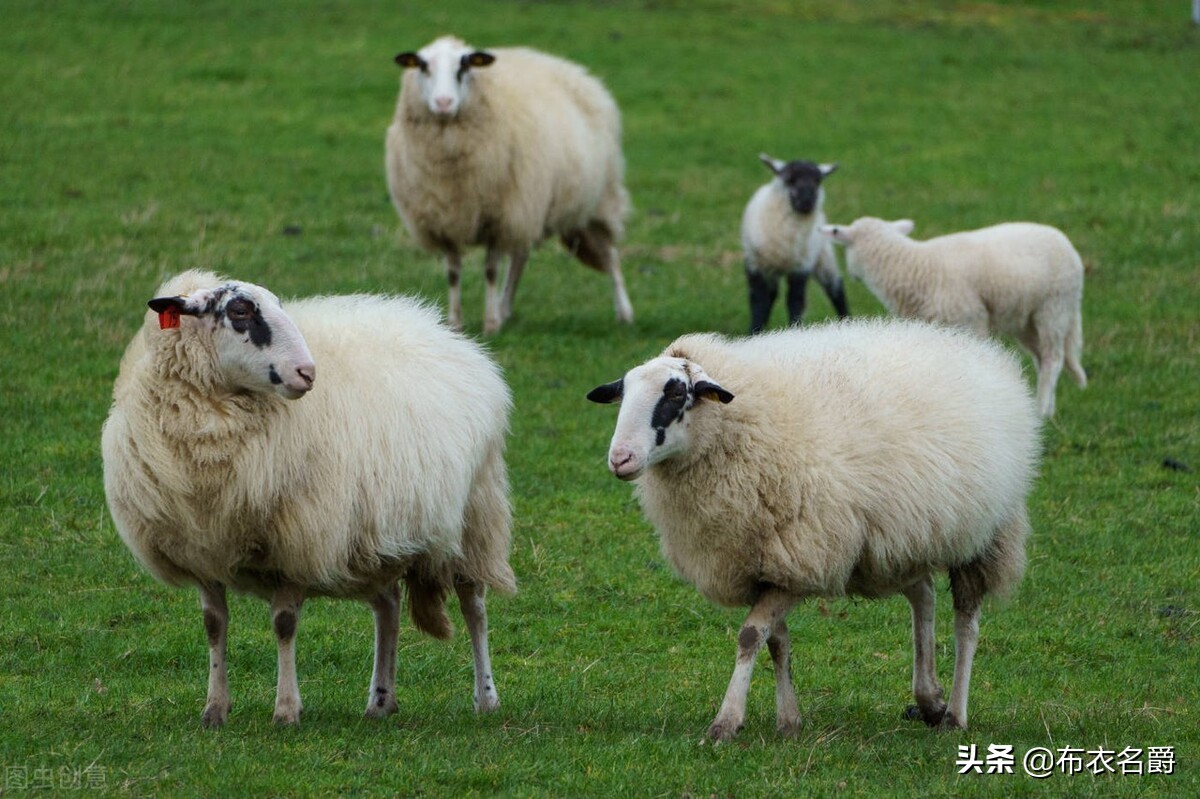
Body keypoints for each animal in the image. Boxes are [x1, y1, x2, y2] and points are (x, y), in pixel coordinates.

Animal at [100, 271, 513, 724]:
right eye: (240, 311)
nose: (307, 371)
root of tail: (449, 336)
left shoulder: (296, 540)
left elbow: (284, 624)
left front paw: (286, 710)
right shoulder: (204, 548)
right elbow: (213, 625)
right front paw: (215, 709)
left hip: (476, 514)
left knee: (474, 607)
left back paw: (486, 698)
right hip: (373, 533)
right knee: (387, 607)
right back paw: (380, 702)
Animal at [386, 33, 638, 333]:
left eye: (464, 67)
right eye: (423, 67)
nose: (444, 103)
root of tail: (575, 71)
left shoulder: (499, 217)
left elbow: (490, 270)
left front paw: (490, 324)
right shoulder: (444, 221)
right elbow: (453, 273)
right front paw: (456, 323)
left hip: (596, 201)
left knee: (610, 255)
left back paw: (624, 312)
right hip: (530, 206)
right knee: (520, 257)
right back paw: (505, 308)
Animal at [590, 314, 1041, 739]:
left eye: (676, 394)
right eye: (623, 395)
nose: (620, 458)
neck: (742, 425)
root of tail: (976, 348)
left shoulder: (802, 558)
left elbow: (751, 635)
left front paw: (726, 722)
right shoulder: (765, 565)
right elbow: (776, 641)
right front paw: (788, 721)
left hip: (987, 534)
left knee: (966, 623)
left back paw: (955, 716)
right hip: (902, 538)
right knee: (923, 597)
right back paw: (929, 699)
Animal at [734, 153, 849, 331]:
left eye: (818, 181)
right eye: (790, 180)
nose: (807, 202)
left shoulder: (800, 268)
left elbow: (795, 302)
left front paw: (795, 328)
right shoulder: (756, 266)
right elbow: (758, 301)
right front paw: (755, 330)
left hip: (822, 254)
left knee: (835, 288)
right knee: (772, 295)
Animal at [816, 218, 1089, 417]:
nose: (853, 276)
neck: (912, 266)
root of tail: (1065, 241)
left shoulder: (972, 318)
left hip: (1054, 307)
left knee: (1053, 358)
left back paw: (1042, 410)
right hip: (1026, 318)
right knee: (1042, 358)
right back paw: (1044, 407)